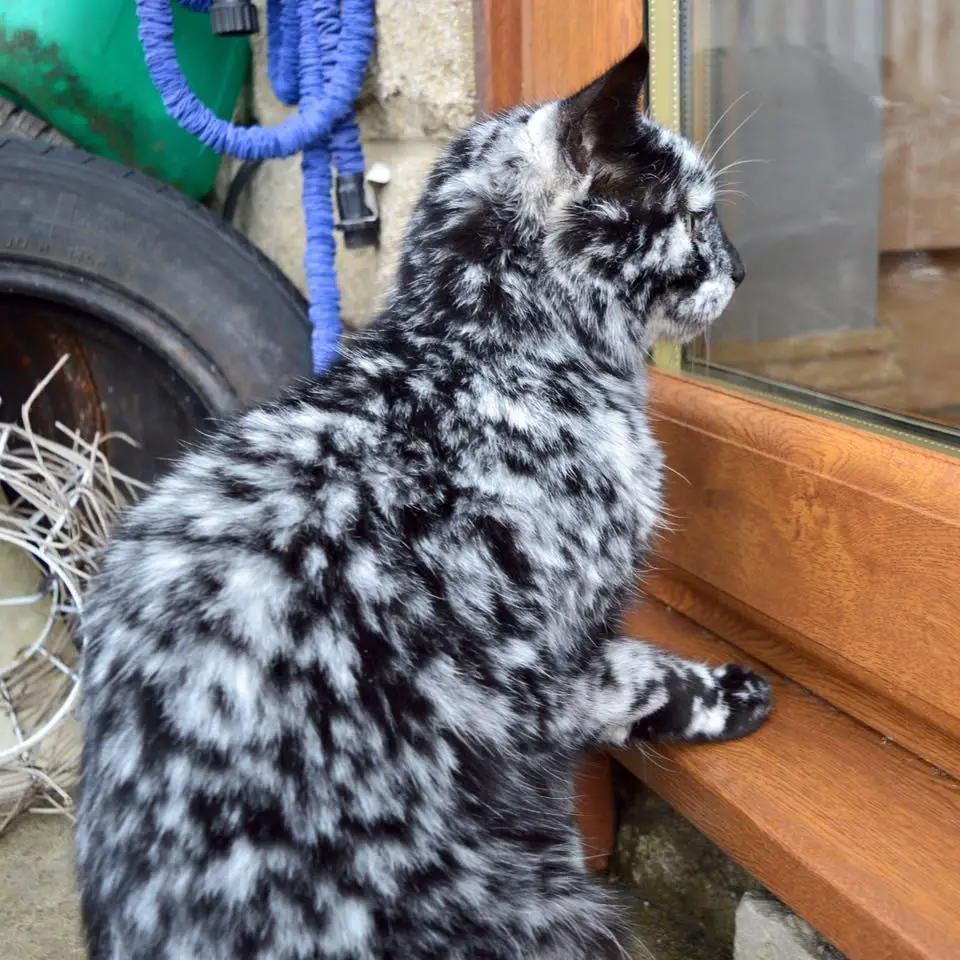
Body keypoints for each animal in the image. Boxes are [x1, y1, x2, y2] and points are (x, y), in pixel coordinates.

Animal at [75, 45, 768, 960]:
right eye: (695, 217)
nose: (741, 271)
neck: (475, 355)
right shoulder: (555, 664)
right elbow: (645, 678)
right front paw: (729, 695)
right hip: (543, 905)